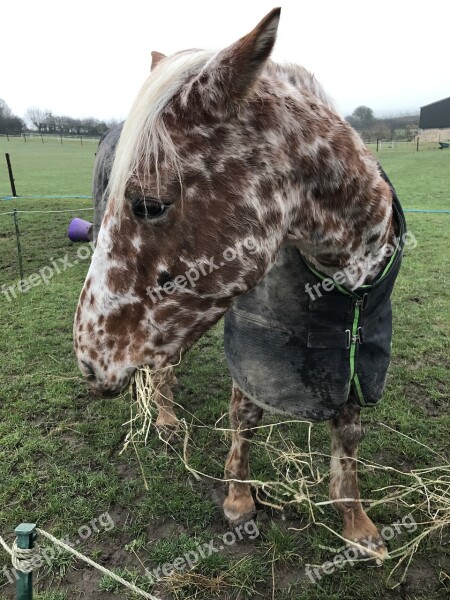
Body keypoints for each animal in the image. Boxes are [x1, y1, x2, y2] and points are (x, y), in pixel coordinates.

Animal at [73, 7, 404, 560]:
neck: (343, 272)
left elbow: (348, 437)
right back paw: (165, 418)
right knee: (163, 369)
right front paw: (239, 500)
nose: (88, 360)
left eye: (149, 205)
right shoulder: (254, 345)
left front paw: (358, 526)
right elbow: (244, 417)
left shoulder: (356, 354)